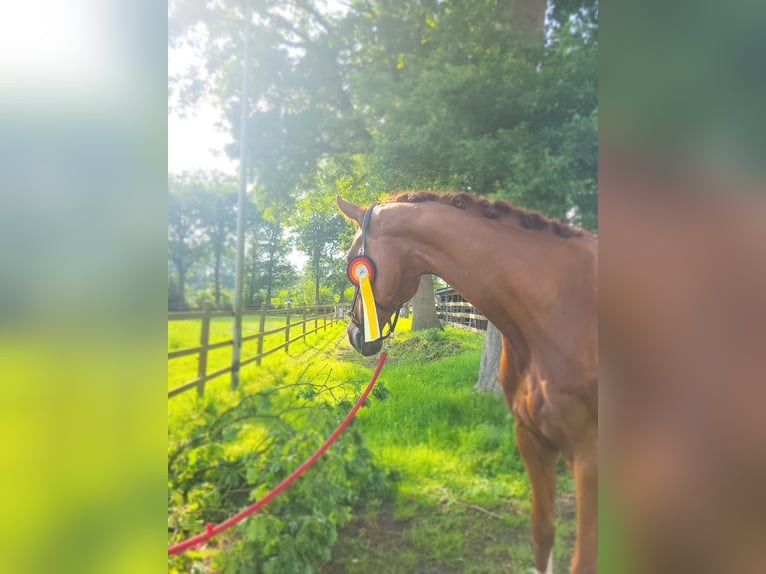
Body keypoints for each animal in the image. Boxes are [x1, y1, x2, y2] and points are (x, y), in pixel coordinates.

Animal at [337, 192, 598, 574]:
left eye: (351, 260)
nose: (355, 334)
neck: (556, 312)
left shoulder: (589, 457)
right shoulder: (531, 438)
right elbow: (543, 533)